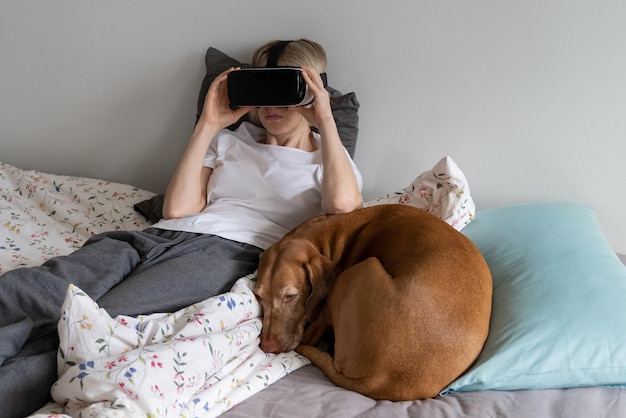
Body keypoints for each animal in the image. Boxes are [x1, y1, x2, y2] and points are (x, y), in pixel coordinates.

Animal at [254, 204, 492, 400]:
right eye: (258, 296)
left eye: (290, 296)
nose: (267, 346)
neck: (325, 232)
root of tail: (380, 381)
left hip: (358, 271)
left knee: (312, 335)